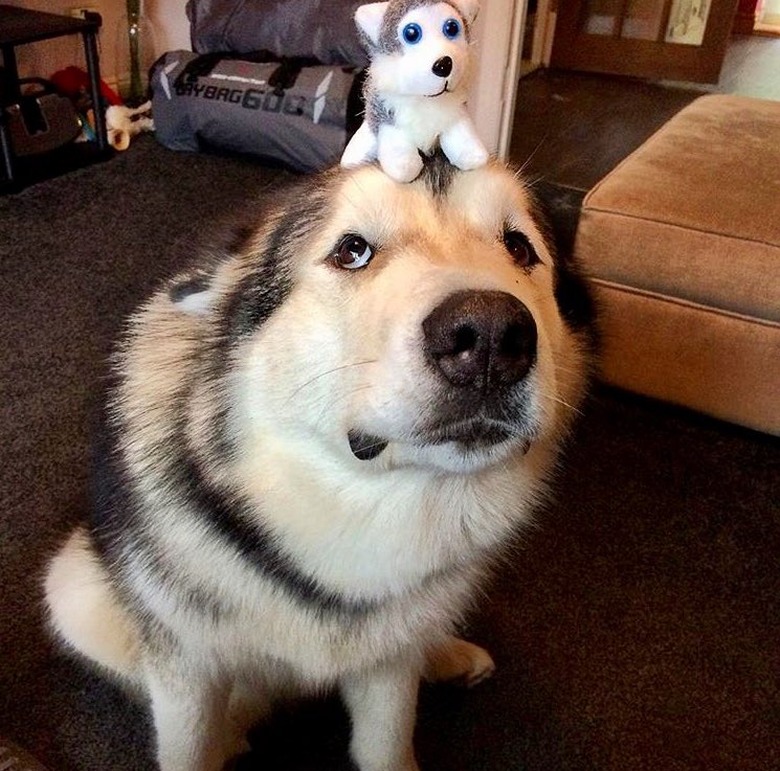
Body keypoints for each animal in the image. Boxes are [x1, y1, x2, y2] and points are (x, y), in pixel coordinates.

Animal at [45, 152, 596, 771]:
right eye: (351, 250)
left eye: (520, 248)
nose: (491, 335)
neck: (354, 505)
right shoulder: (185, 666)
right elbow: (188, 743)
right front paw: (216, 738)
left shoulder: (387, 673)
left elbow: (387, 742)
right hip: (72, 588)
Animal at [342, 0, 488, 181]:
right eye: (411, 33)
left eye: (452, 27)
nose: (444, 64)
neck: (425, 100)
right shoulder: (385, 113)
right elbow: (397, 142)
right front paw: (404, 166)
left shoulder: (456, 113)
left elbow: (461, 133)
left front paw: (472, 156)